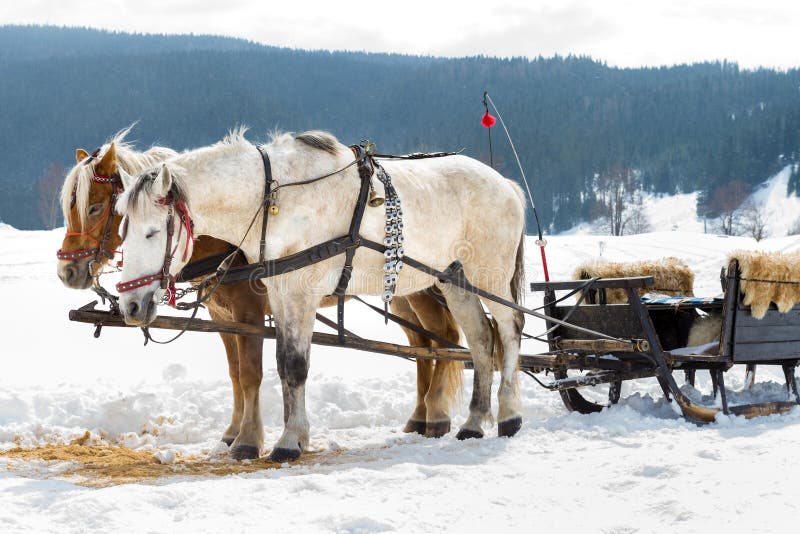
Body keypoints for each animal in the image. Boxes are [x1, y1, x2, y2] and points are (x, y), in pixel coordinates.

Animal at [112, 132, 524, 462]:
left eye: (152, 232)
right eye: (123, 230)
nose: (130, 306)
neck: (273, 202)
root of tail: (505, 183)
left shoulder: (299, 293)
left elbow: (294, 366)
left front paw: (286, 442)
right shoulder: (280, 294)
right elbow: (281, 365)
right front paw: (293, 435)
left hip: (489, 274)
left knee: (509, 329)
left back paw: (508, 415)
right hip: (454, 279)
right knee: (481, 339)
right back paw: (473, 421)